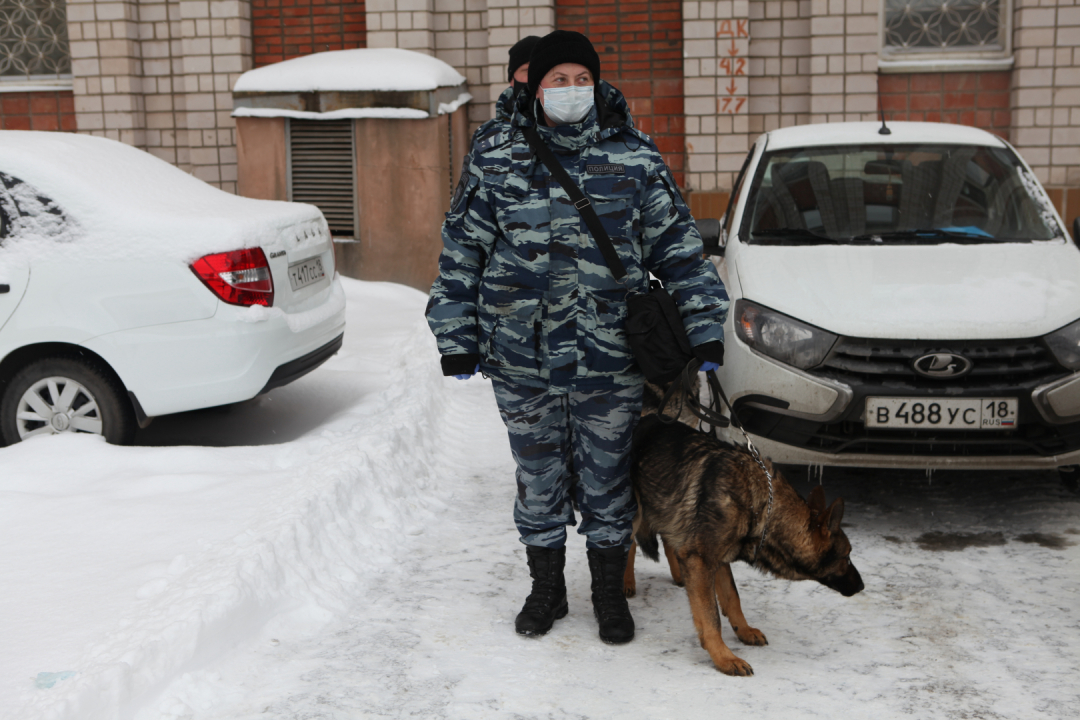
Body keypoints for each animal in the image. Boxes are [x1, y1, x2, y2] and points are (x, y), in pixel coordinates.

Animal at [626, 414, 859, 677]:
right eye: (847, 557)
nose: (862, 586)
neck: (761, 506)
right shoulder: (702, 560)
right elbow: (711, 617)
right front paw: (724, 657)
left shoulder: (718, 560)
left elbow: (732, 598)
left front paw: (744, 630)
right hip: (633, 513)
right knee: (626, 544)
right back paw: (626, 583)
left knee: (668, 540)